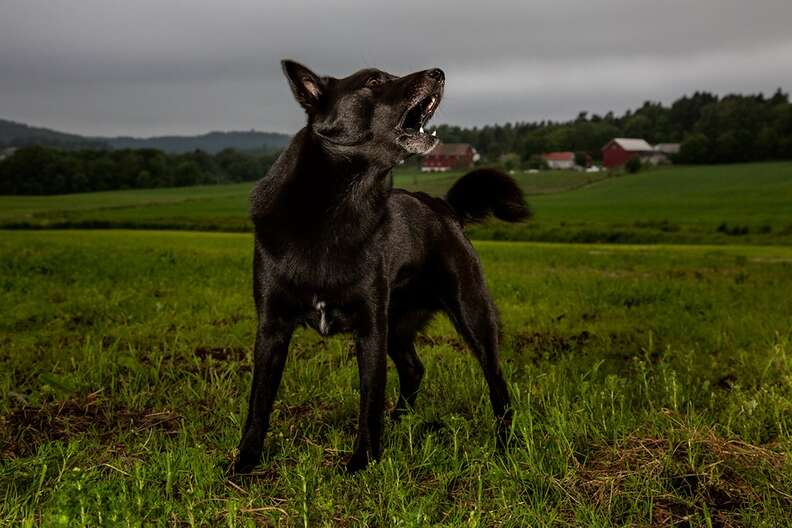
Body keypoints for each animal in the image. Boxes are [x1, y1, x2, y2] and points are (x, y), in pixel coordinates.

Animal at [235, 59, 532, 472]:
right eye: (374, 80)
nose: (439, 72)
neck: (339, 207)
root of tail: (444, 207)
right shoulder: (272, 326)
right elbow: (259, 402)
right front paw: (244, 461)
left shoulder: (370, 326)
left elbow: (369, 399)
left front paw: (362, 461)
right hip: (399, 326)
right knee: (413, 368)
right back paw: (401, 419)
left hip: (471, 314)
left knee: (496, 382)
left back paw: (506, 444)